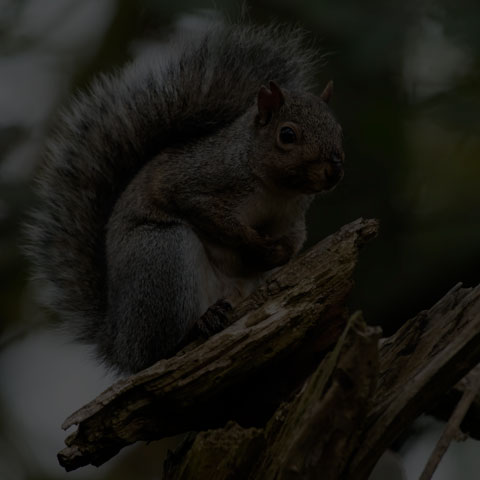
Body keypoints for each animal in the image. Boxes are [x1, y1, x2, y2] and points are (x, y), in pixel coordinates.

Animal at [26, 21, 344, 376]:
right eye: (287, 135)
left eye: (338, 129)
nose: (334, 170)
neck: (275, 188)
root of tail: (120, 342)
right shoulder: (196, 181)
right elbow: (214, 217)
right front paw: (255, 243)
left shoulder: (293, 216)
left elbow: (295, 238)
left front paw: (279, 253)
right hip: (162, 255)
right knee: (160, 348)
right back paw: (197, 325)